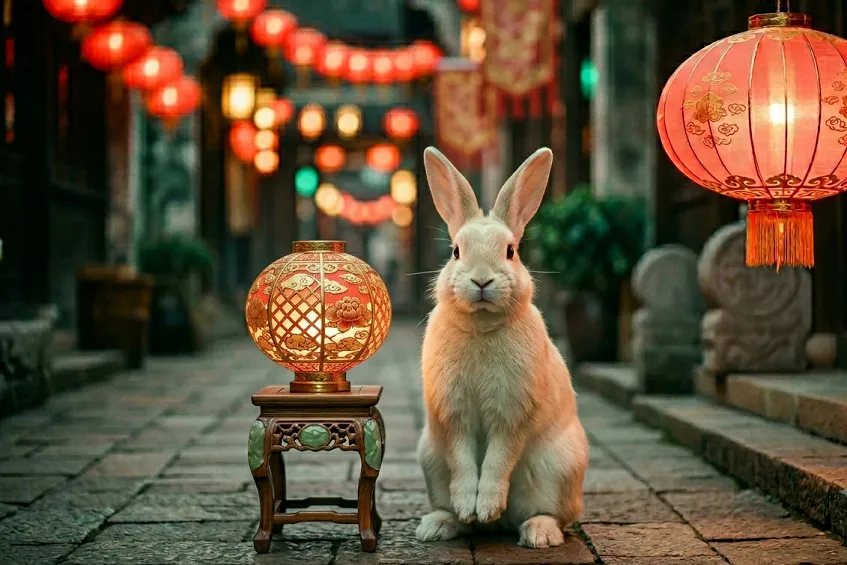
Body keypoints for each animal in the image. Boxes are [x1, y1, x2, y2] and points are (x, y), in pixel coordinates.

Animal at [415, 147, 589, 549]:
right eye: (455, 252)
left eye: (510, 251)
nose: (482, 280)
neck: (481, 327)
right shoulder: (453, 415)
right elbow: (463, 460)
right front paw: (469, 507)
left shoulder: (512, 413)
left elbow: (498, 459)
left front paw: (487, 506)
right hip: (430, 458)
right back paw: (441, 525)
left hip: (561, 470)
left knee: (555, 516)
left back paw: (536, 533)